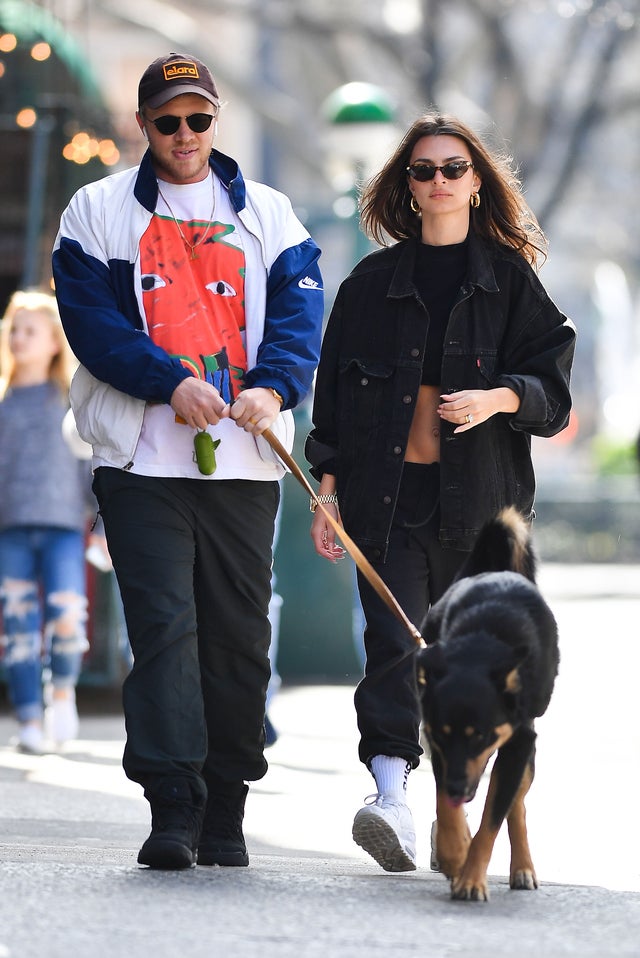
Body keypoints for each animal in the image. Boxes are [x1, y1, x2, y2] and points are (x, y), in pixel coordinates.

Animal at [418, 506, 556, 904]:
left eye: (480, 736)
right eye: (444, 735)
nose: (457, 788)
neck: (480, 648)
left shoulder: (518, 740)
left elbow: (493, 819)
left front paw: (471, 878)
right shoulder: (437, 743)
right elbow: (446, 806)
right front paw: (455, 856)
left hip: (523, 746)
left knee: (516, 802)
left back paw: (522, 867)